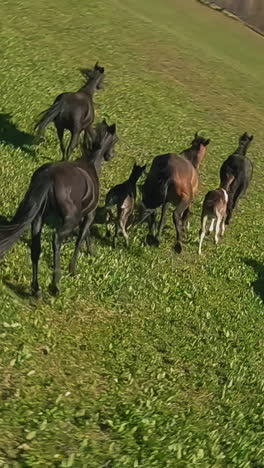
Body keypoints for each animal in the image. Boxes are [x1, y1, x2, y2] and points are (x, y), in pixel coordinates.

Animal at [0, 119, 116, 294]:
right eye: (115, 141)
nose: (111, 155)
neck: (90, 165)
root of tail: (49, 176)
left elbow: (86, 235)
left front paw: (91, 251)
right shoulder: (89, 215)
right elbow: (80, 239)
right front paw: (73, 269)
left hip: (38, 218)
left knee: (36, 248)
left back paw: (36, 289)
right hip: (67, 220)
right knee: (56, 239)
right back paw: (55, 284)